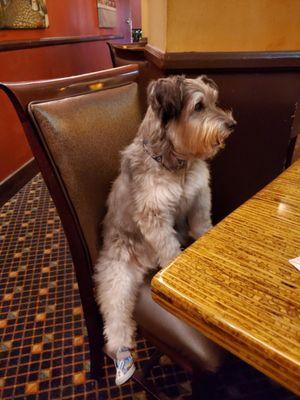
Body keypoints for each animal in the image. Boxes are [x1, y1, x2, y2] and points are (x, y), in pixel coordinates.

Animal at [93, 74, 234, 384]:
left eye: (214, 100)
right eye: (199, 106)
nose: (231, 124)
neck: (175, 163)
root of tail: (144, 265)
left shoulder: (198, 198)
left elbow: (201, 225)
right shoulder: (154, 218)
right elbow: (169, 248)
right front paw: (174, 263)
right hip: (117, 280)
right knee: (116, 320)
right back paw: (121, 355)